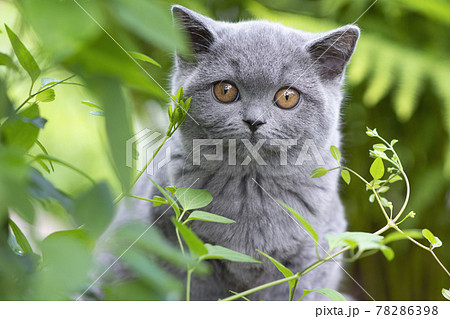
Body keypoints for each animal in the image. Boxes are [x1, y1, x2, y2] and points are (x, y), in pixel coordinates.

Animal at [121, 4, 360, 300]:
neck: (250, 188)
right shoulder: (178, 242)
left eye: (288, 97)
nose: (254, 121)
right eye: (225, 90)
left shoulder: (308, 259)